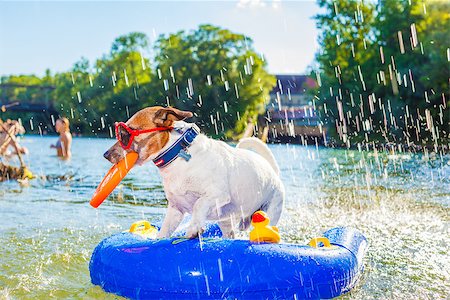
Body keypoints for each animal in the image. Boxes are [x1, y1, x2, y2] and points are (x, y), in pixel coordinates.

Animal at [103, 106, 284, 238]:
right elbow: (164, 232)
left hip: (271, 210)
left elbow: (199, 204)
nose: (105, 154)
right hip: (226, 221)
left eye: (125, 134)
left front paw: (194, 228)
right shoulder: (175, 209)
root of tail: (273, 171)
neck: (177, 157)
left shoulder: (217, 194)